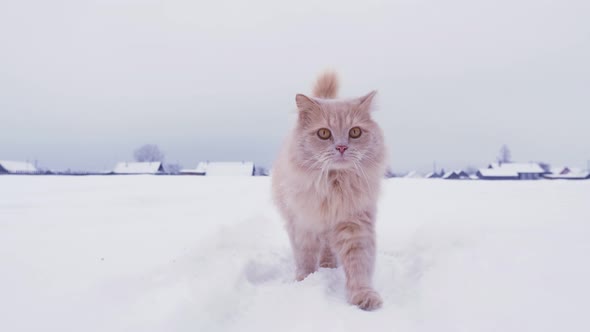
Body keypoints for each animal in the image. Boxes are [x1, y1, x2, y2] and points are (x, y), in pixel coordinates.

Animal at [272, 71, 388, 310]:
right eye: (324, 133)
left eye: (355, 132)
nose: (342, 147)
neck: (335, 186)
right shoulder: (303, 224)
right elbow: (305, 258)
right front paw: (304, 281)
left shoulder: (355, 224)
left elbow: (358, 266)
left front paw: (363, 296)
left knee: (327, 249)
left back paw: (328, 265)